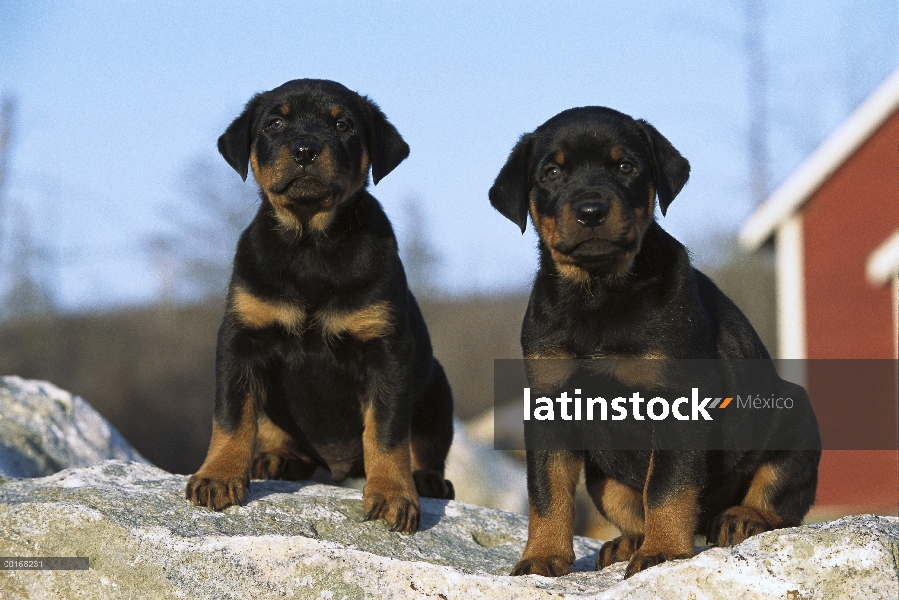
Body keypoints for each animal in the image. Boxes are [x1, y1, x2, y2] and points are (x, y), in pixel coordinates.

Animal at [190, 77, 458, 532]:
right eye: (275, 123)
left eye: (344, 124)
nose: (304, 150)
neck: (310, 244)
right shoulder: (240, 339)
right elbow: (232, 415)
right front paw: (218, 475)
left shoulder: (388, 352)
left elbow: (386, 431)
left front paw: (393, 494)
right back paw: (277, 459)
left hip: (437, 387)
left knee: (425, 444)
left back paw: (426, 480)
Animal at [492, 106, 824, 576]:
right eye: (552, 172)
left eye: (626, 167)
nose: (591, 210)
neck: (598, 293)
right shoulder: (547, 403)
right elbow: (546, 489)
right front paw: (541, 557)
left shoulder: (677, 400)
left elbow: (667, 484)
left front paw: (663, 552)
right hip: (603, 477)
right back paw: (628, 541)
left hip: (795, 416)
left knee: (782, 498)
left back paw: (743, 518)